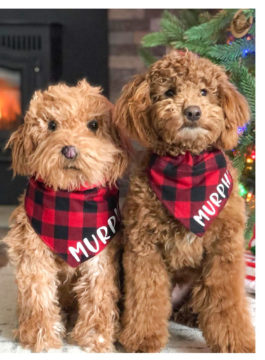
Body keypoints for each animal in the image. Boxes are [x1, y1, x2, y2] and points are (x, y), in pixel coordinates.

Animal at [2, 79, 128, 352]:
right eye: (51, 125)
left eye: (93, 125)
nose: (70, 151)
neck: (71, 196)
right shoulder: (33, 254)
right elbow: (38, 294)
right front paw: (41, 335)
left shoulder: (99, 252)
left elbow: (98, 294)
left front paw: (96, 336)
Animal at [114, 50, 255, 352]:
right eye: (169, 92)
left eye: (204, 91)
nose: (192, 111)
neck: (187, 164)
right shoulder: (145, 247)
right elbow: (146, 294)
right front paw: (143, 337)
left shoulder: (223, 248)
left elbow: (226, 302)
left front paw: (236, 340)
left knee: (203, 299)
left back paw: (193, 317)